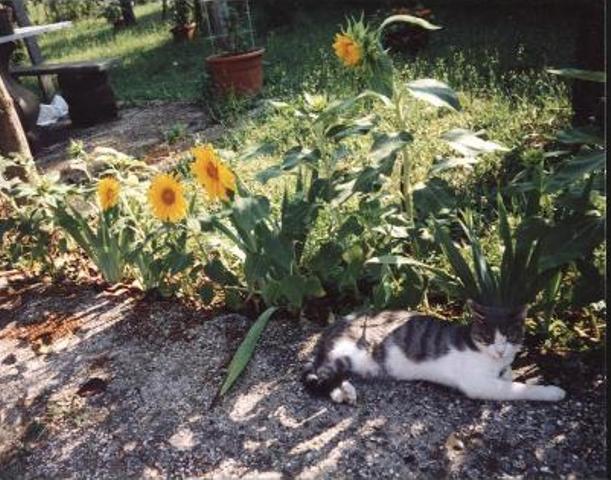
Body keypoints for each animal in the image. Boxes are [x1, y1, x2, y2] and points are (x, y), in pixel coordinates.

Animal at [304, 304, 568, 404]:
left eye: (510, 337)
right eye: (488, 338)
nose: (500, 349)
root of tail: (338, 322)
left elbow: (509, 375)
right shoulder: (478, 384)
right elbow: (515, 388)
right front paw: (551, 391)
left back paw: (343, 392)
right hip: (346, 352)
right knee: (317, 375)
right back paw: (343, 391)